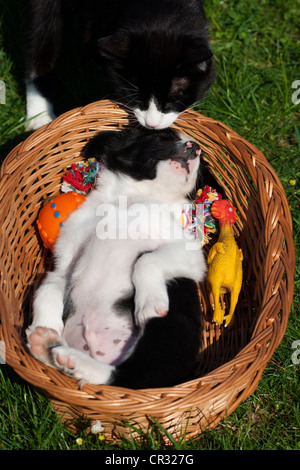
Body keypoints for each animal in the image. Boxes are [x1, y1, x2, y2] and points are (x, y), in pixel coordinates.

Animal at [26, 129, 206, 390]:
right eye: (162, 137)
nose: (195, 147)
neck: (129, 200)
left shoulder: (191, 254)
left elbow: (146, 261)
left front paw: (149, 302)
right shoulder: (63, 268)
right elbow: (46, 290)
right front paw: (45, 324)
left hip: (172, 330)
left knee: (127, 378)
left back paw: (72, 359)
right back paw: (47, 344)